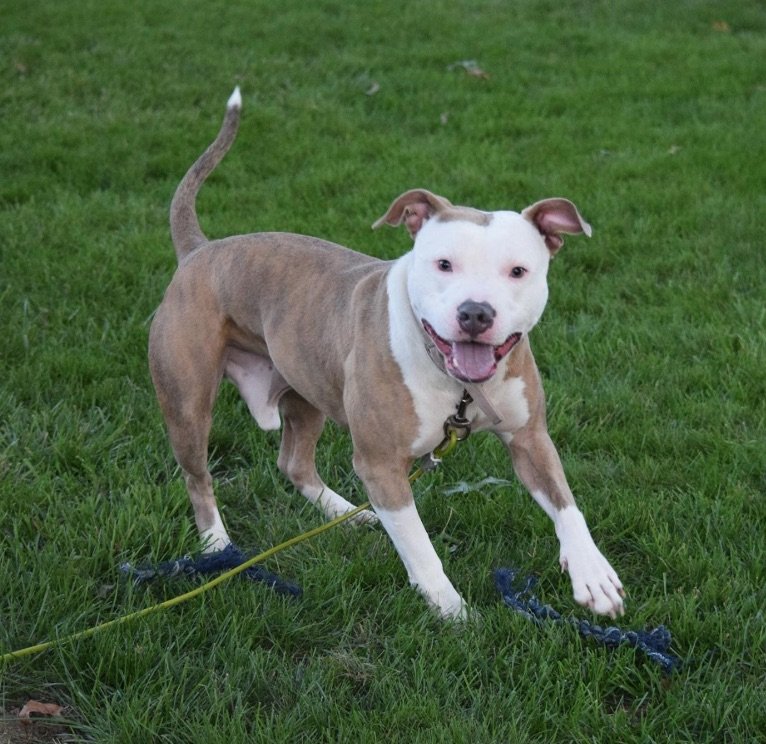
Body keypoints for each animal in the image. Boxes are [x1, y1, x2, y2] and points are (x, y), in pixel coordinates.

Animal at [147, 87, 628, 620]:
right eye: (443, 264)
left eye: (518, 271)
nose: (475, 313)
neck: (456, 385)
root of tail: (199, 251)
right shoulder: (381, 464)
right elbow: (419, 545)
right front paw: (450, 609)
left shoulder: (530, 437)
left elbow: (567, 505)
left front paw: (592, 574)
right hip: (188, 403)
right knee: (198, 477)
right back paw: (216, 545)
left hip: (305, 390)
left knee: (294, 462)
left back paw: (342, 513)